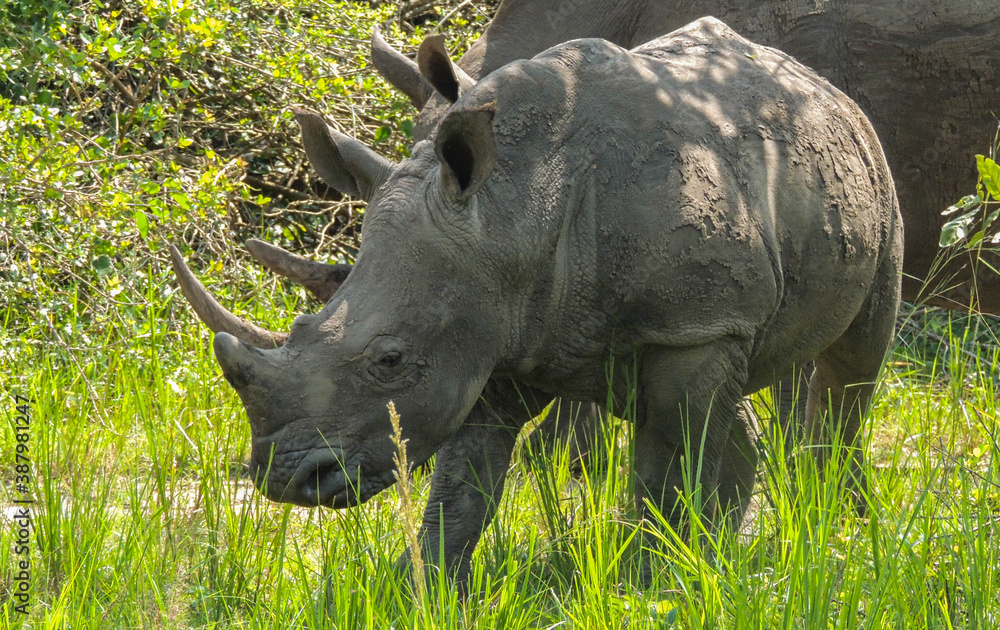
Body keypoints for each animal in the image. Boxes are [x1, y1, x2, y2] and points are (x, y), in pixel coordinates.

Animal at [174, 18, 902, 579]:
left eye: (389, 360)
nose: (284, 477)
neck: (514, 210)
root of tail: (823, 87)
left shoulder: (693, 324)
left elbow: (679, 461)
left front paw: (658, 581)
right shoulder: (487, 328)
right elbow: (462, 484)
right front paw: (426, 589)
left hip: (872, 175)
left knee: (849, 364)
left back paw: (828, 527)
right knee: (701, 407)